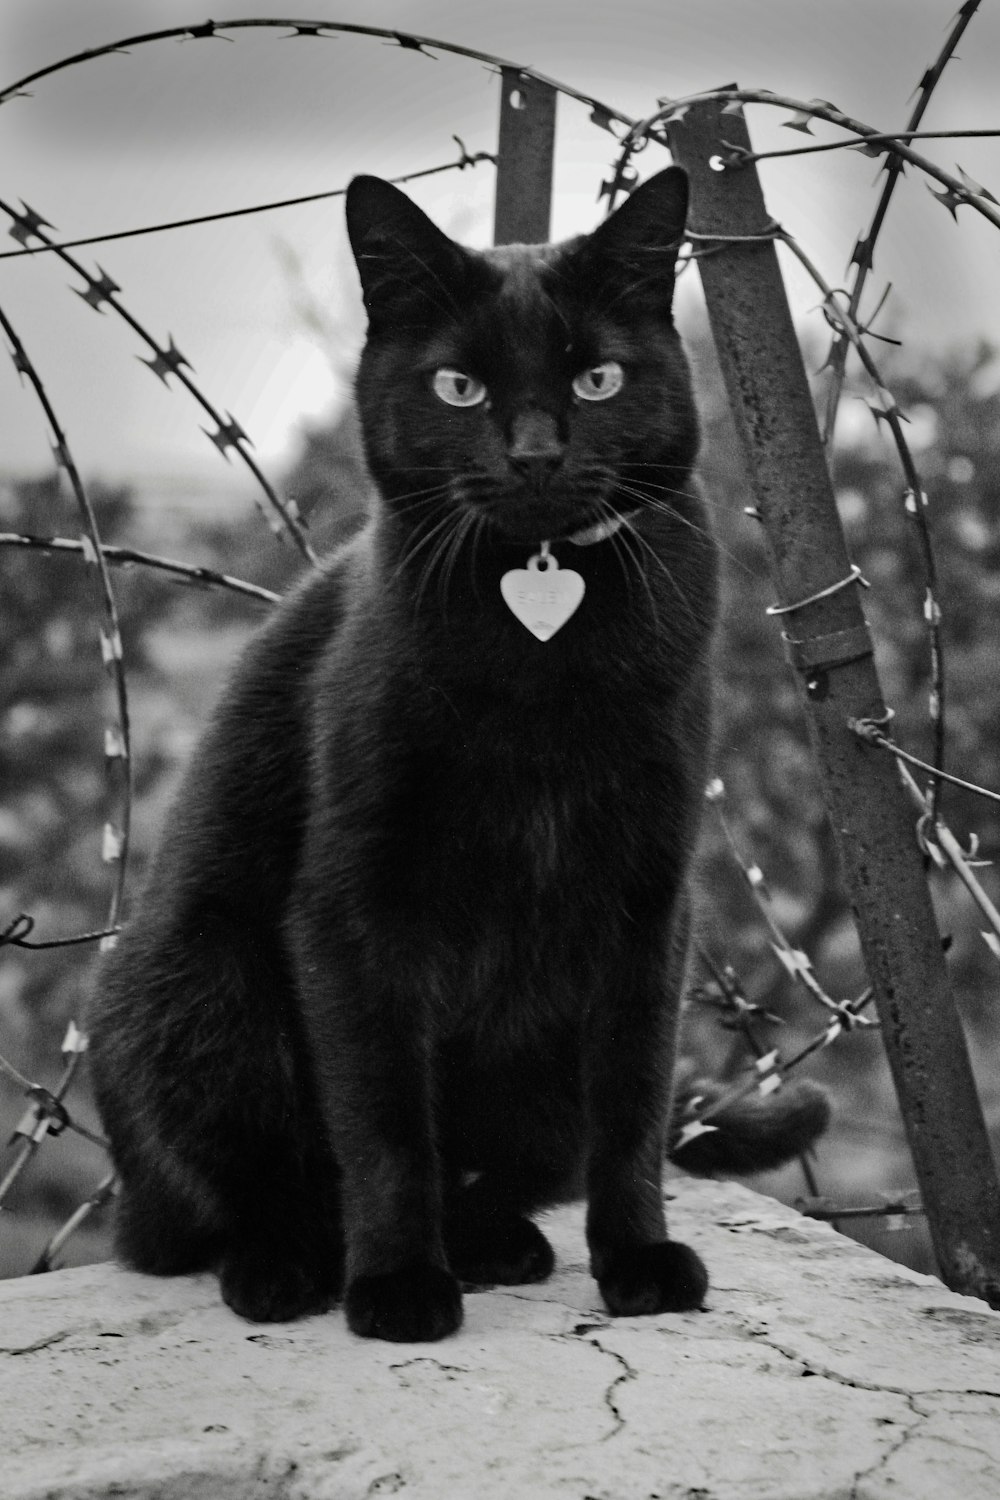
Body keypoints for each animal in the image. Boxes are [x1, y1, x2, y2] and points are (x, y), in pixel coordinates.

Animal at [86, 170, 827, 1344]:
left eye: (598, 378)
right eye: (460, 387)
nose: (533, 453)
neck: (542, 634)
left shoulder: (648, 899)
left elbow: (630, 1101)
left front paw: (638, 1260)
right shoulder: (354, 904)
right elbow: (386, 1115)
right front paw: (396, 1284)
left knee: (511, 1169)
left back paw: (495, 1245)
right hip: (199, 982)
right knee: (207, 1213)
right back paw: (290, 1263)